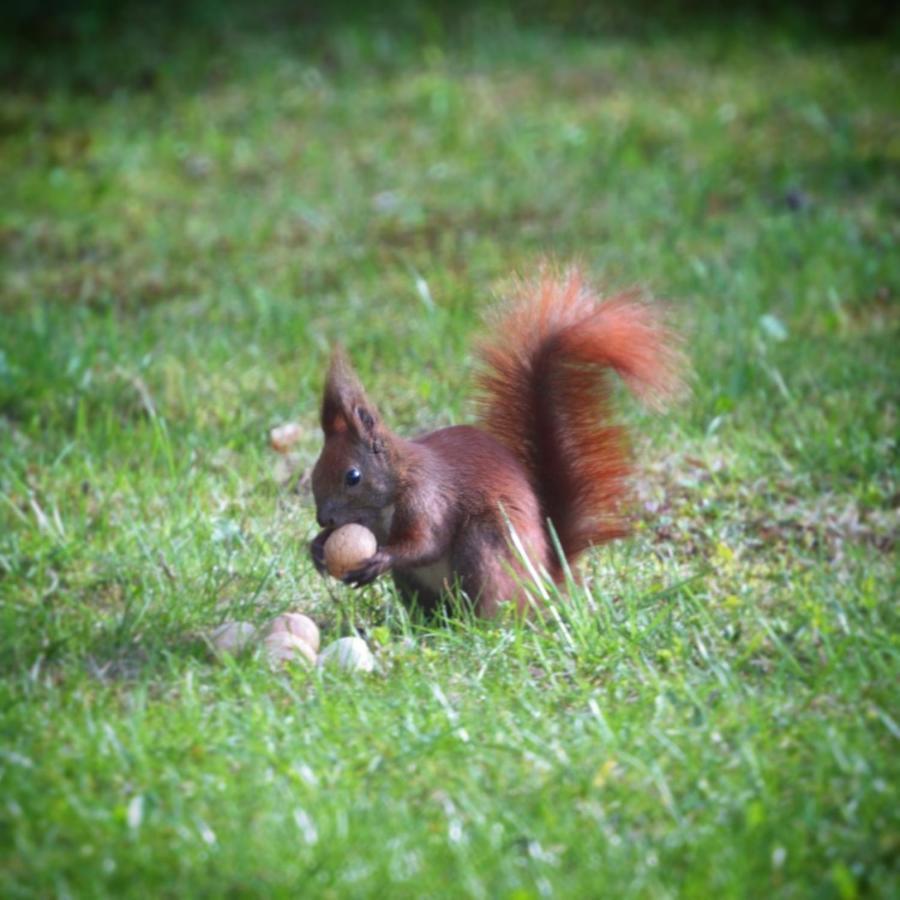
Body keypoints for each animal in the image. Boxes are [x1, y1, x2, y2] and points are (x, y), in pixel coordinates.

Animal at [310, 268, 684, 620]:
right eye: (313, 475)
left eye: (353, 476)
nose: (323, 519)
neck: (397, 481)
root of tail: (544, 580)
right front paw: (316, 548)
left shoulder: (428, 498)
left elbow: (425, 543)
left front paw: (379, 558)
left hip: (484, 547)